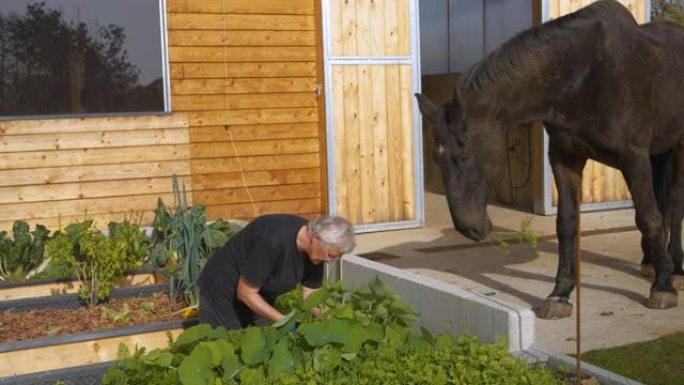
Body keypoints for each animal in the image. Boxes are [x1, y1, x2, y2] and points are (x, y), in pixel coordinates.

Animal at [414, 0, 684, 318]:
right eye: (436, 158)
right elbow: (566, 223)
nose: (469, 229)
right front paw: (560, 294)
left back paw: (675, 270)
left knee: (674, 204)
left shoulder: (633, 158)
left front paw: (663, 288)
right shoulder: (565, 158)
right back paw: (650, 262)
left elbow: (649, 217)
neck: (585, 76)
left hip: (678, 146)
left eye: (465, 153)